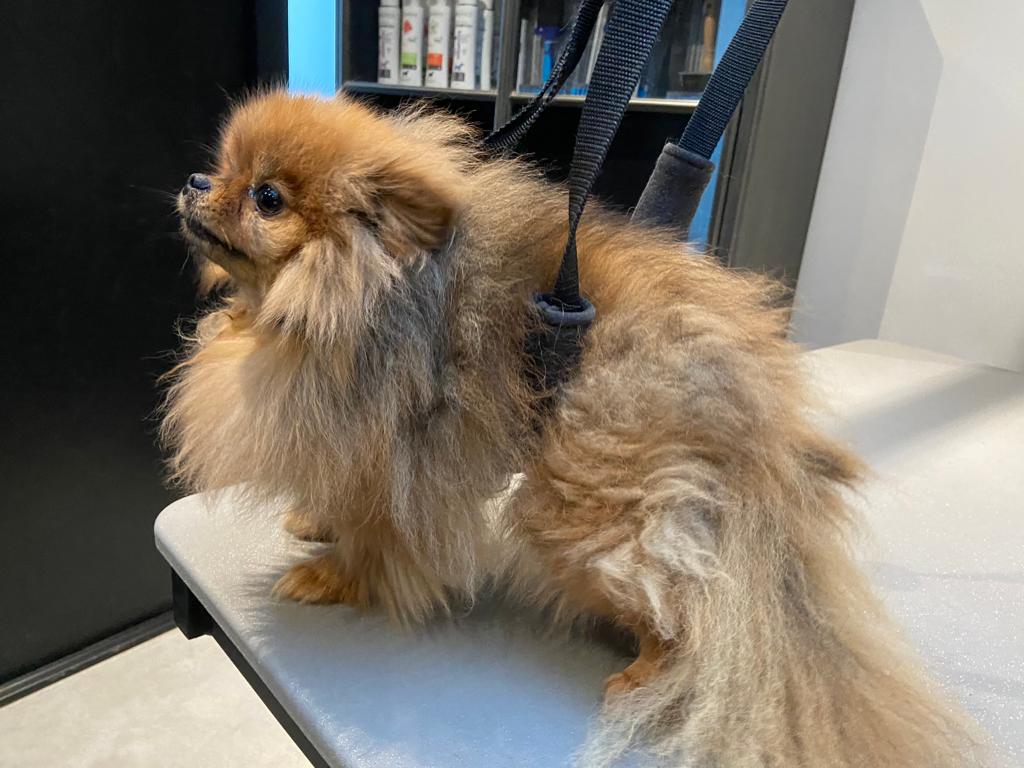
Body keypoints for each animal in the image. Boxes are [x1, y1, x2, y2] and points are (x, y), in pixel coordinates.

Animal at [162, 91, 983, 766]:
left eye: (267, 197)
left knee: (684, 605)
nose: (197, 182)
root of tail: (758, 414)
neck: (327, 305)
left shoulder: (390, 453)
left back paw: (648, 672)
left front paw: (330, 577)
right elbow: (336, 499)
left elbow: (375, 534)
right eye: (222, 169)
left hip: (584, 503)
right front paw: (314, 520)